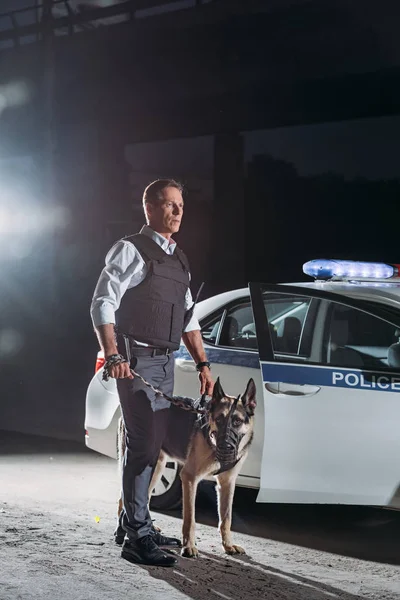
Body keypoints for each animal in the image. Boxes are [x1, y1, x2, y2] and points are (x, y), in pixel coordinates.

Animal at [118, 380, 256, 556]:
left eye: (237, 421)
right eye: (219, 420)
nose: (225, 448)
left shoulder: (227, 484)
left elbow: (226, 519)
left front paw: (228, 545)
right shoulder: (189, 478)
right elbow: (190, 519)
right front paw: (189, 546)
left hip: (157, 469)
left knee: (144, 497)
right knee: (125, 498)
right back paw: (124, 533)